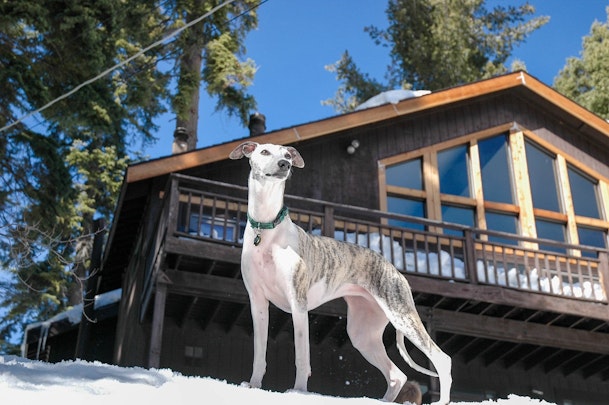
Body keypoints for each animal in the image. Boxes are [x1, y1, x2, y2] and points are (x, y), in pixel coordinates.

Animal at [230, 140, 448, 402]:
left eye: (287, 155)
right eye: (264, 151)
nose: (285, 165)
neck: (267, 229)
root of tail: (395, 270)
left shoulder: (298, 304)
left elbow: (302, 356)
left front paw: (298, 391)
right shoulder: (258, 303)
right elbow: (259, 353)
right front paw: (253, 385)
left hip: (402, 316)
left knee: (442, 359)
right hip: (362, 333)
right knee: (398, 375)